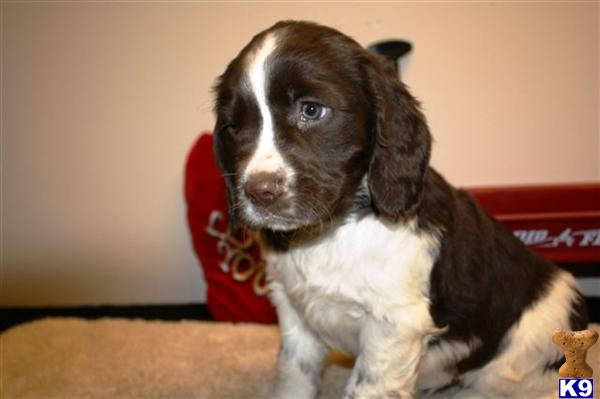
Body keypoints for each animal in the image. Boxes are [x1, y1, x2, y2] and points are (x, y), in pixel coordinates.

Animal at [210, 21, 584, 399]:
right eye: (233, 127)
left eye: (311, 110)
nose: (259, 192)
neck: (334, 230)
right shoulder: (294, 312)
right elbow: (292, 377)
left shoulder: (393, 326)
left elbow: (366, 388)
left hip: (513, 367)